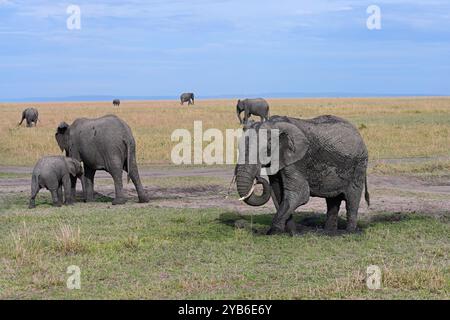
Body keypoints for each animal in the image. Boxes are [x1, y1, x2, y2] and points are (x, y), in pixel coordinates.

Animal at [236, 115, 370, 235]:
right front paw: (292, 232)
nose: (258, 178)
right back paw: (329, 232)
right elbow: (278, 193)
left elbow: (299, 194)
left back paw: (350, 232)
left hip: (358, 166)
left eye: (265, 150)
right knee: (332, 201)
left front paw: (272, 232)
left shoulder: (297, 160)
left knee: (352, 200)